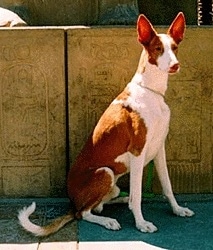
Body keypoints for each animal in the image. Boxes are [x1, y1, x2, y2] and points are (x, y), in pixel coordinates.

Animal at [18, 12, 195, 236]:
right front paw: (141, 223)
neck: (151, 92)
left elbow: (167, 186)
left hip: (113, 182)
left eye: (175, 47)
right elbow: (138, 194)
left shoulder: (158, 149)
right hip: (105, 172)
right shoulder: (138, 151)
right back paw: (108, 220)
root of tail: (72, 203)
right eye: (158, 49)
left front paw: (177, 209)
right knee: (85, 213)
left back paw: (121, 201)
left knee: (102, 204)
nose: (175, 65)